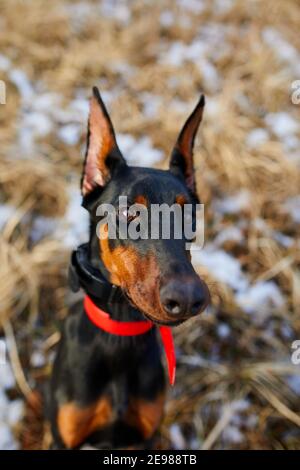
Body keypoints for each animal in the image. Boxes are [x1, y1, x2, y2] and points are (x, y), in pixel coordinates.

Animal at [48, 86, 209, 450]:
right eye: (128, 212)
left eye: (189, 214)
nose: (188, 298)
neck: (120, 335)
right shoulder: (64, 437)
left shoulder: (146, 436)